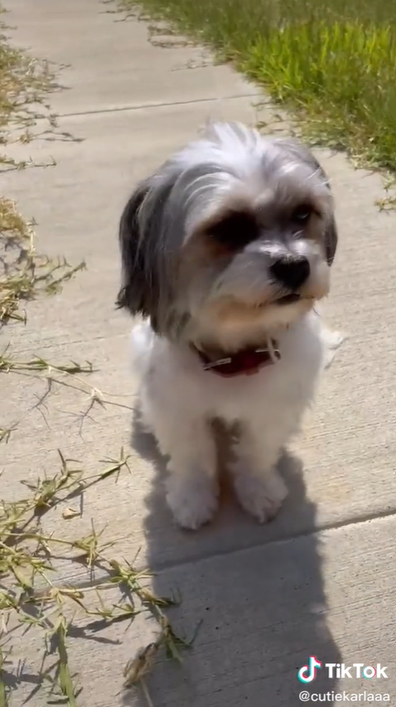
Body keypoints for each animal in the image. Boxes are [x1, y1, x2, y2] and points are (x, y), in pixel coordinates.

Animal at [116, 123, 338, 532]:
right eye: (227, 228)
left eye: (302, 213)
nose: (295, 266)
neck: (236, 352)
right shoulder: (179, 407)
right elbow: (192, 456)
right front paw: (193, 498)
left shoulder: (271, 406)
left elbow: (256, 451)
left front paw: (258, 489)